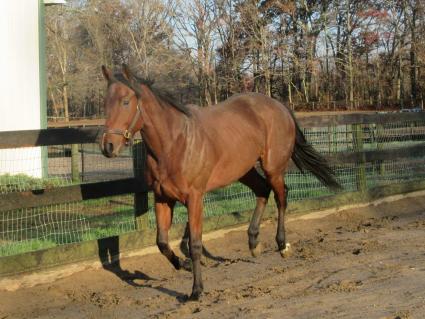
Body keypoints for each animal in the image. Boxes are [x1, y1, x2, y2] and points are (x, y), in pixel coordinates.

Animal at [100, 64, 342, 300]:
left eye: (125, 101)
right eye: (106, 103)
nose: (108, 146)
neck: (174, 143)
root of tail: (279, 106)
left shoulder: (195, 198)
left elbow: (195, 244)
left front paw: (196, 290)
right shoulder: (162, 198)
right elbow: (162, 242)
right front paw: (184, 264)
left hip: (273, 169)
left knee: (281, 197)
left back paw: (282, 245)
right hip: (243, 170)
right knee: (263, 191)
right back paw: (254, 244)